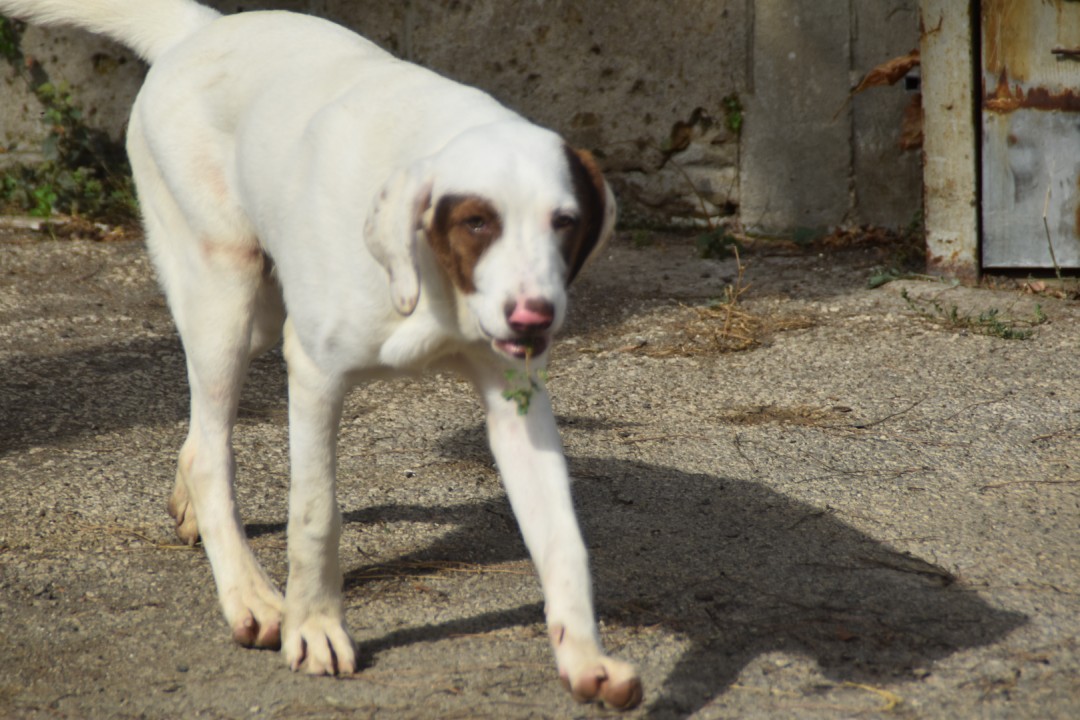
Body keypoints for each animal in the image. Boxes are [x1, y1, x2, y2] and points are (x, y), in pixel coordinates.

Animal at [0, 0, 642, 709]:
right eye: (477, 221)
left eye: (565, 223)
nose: (534, 317)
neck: (430, 279)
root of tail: (200, 29)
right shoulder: (314, 374)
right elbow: (314, 515)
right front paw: (313, 628)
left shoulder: (516, 404)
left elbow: (563, 540)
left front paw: (586, 657)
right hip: (223, 291)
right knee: (212, 449)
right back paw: (249, 595)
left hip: (255, 315)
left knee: (197, 436)